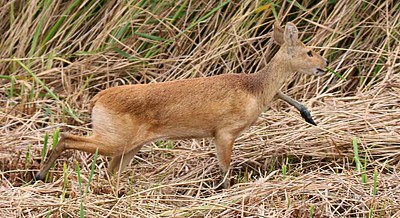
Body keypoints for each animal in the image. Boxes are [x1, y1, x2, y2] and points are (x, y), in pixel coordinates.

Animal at [35, 23, 328, 188]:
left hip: (129, 146)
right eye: (310, 51)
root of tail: (97, 99)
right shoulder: (224, 132)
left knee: (109, 171)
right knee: (66, 136)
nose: (325, 65)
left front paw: (309, 116)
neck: (254, 89)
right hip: (113, 140)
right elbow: (225, 170)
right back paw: (39, 175)